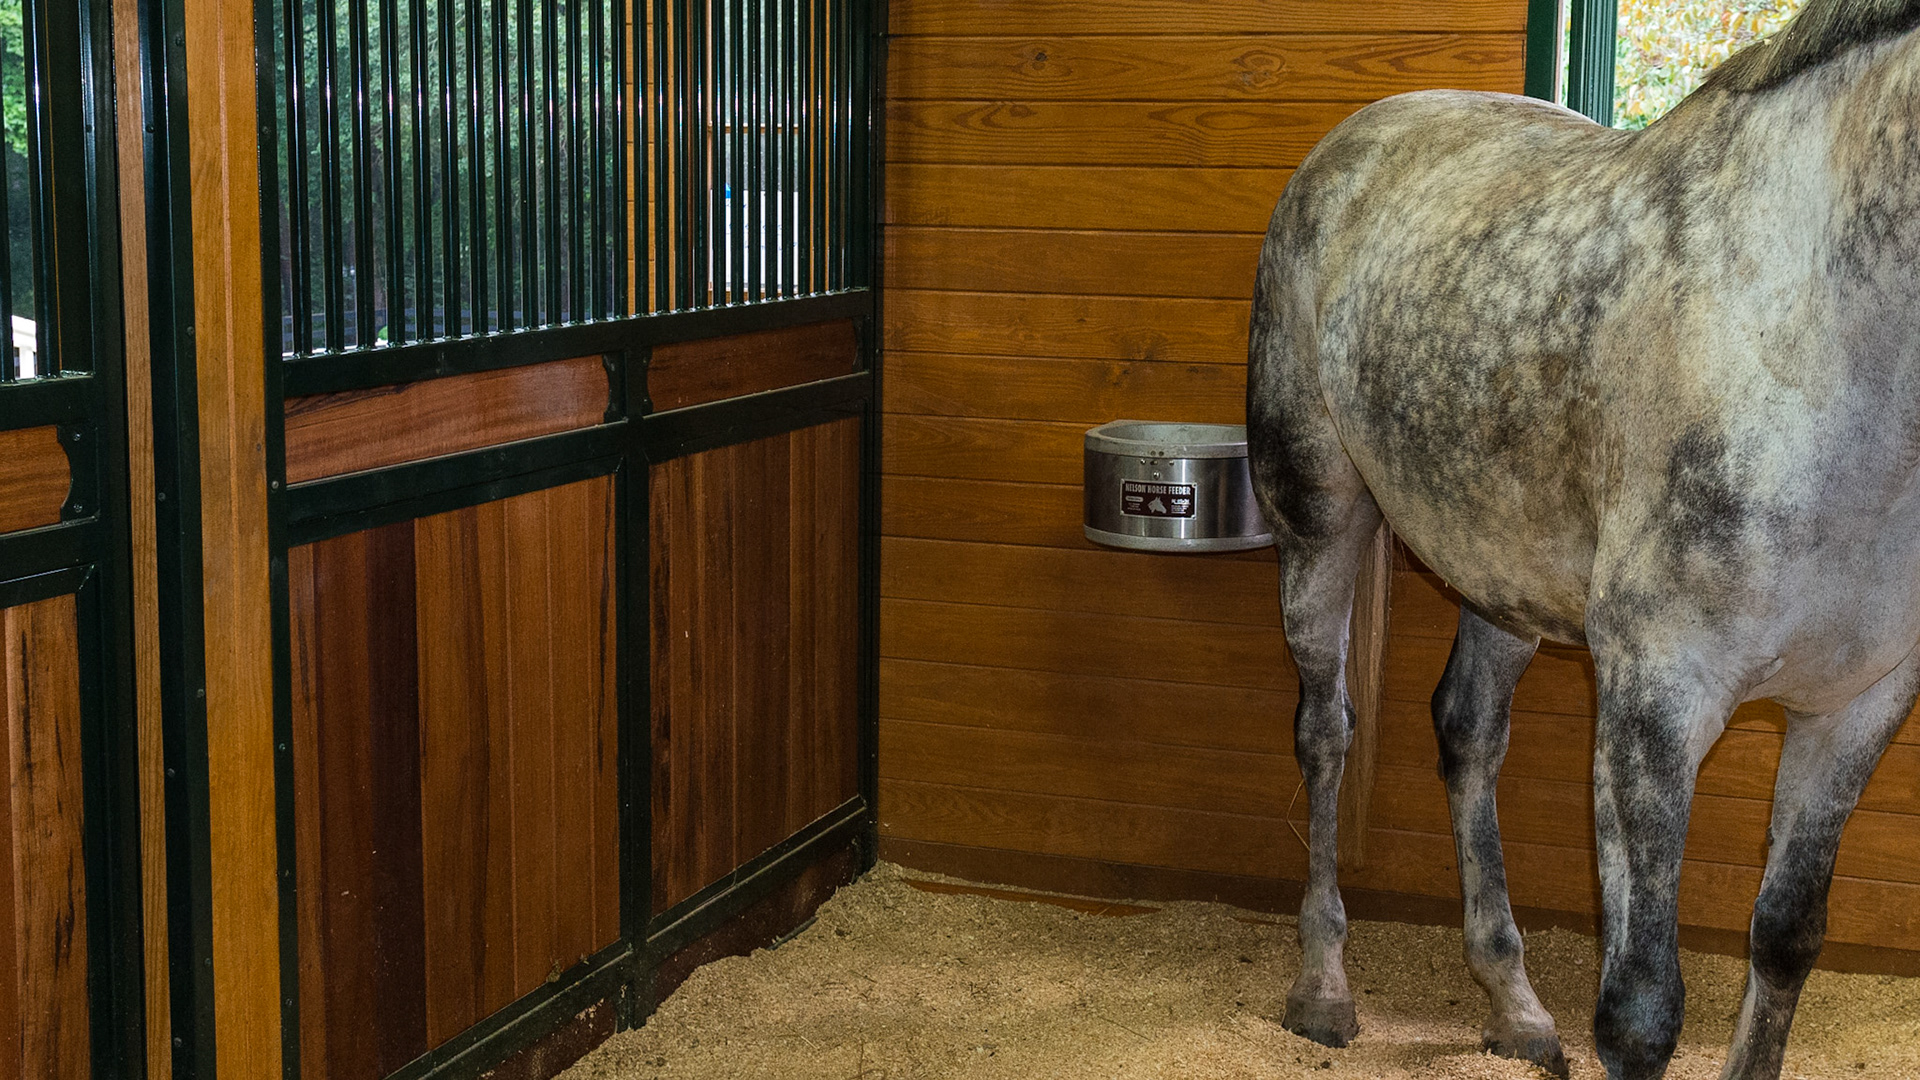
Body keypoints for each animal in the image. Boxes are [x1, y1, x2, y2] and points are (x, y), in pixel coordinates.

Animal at [1246, 2, 1920, 1077]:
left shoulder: (1859, 704)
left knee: (1467, 730)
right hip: (1316, 518)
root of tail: (1358, 136)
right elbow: (1640, 1008)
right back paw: (1323, 989)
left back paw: (1515, 1005)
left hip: (1497, 571)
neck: (1812, 343)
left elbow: (1785, 940)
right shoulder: (1657, 698)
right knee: (1326, 729)